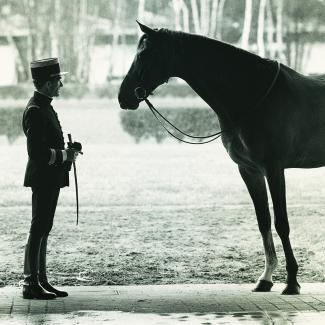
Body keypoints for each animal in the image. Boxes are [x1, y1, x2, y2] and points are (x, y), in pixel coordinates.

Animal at [118, 21, 325, 292]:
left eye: (144, 55)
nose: (123, 97)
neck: (253, 94)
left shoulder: (274, 168)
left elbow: (282, 223)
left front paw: (291, 282)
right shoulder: (249, 170)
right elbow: (263, 220)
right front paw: (266, 278)